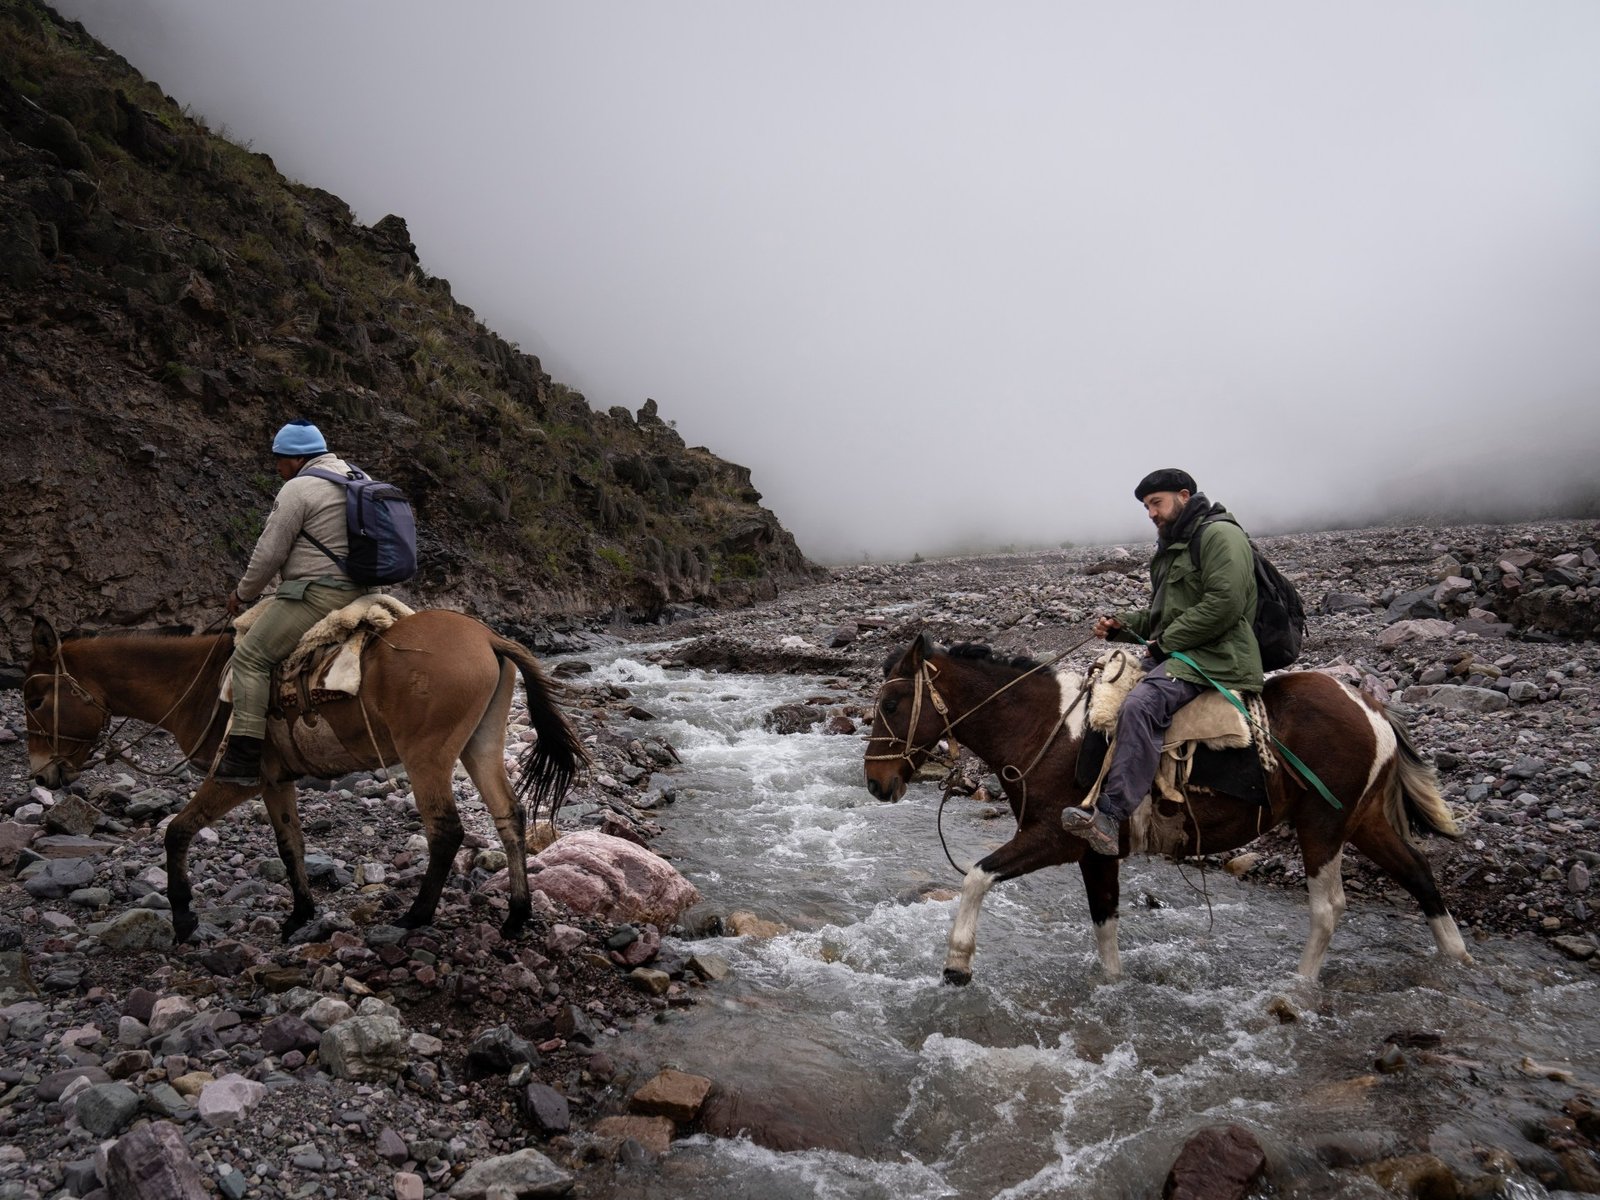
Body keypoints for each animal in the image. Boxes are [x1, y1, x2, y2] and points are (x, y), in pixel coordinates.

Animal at [21, 614, 585, 947]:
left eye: (35, 699)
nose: (43, 772)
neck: (195, 686)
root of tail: (486, 636)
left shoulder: (236, 779)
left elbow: (177, 831)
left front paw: (183, 918)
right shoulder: (275, 781)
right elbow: (289, 843)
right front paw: (300, 914)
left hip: (426, 755)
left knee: (445, 831)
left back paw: (416, 916)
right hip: (479, 744)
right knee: (509, 814)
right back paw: (516, 913)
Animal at [870, 633, 1465, 979]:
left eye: (892, 703)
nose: (876, 783)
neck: (1047, 727)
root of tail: (1371, 708)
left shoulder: (1054, 838)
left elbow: (976, 875)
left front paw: (957, 964)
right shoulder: (1096, 851)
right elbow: (1105, 924)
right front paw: (1113, 988)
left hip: (1323, 822)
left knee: (1329, 907)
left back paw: (1297, 991)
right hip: (1363, 820)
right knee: (1419, 872)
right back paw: (1458, 961)